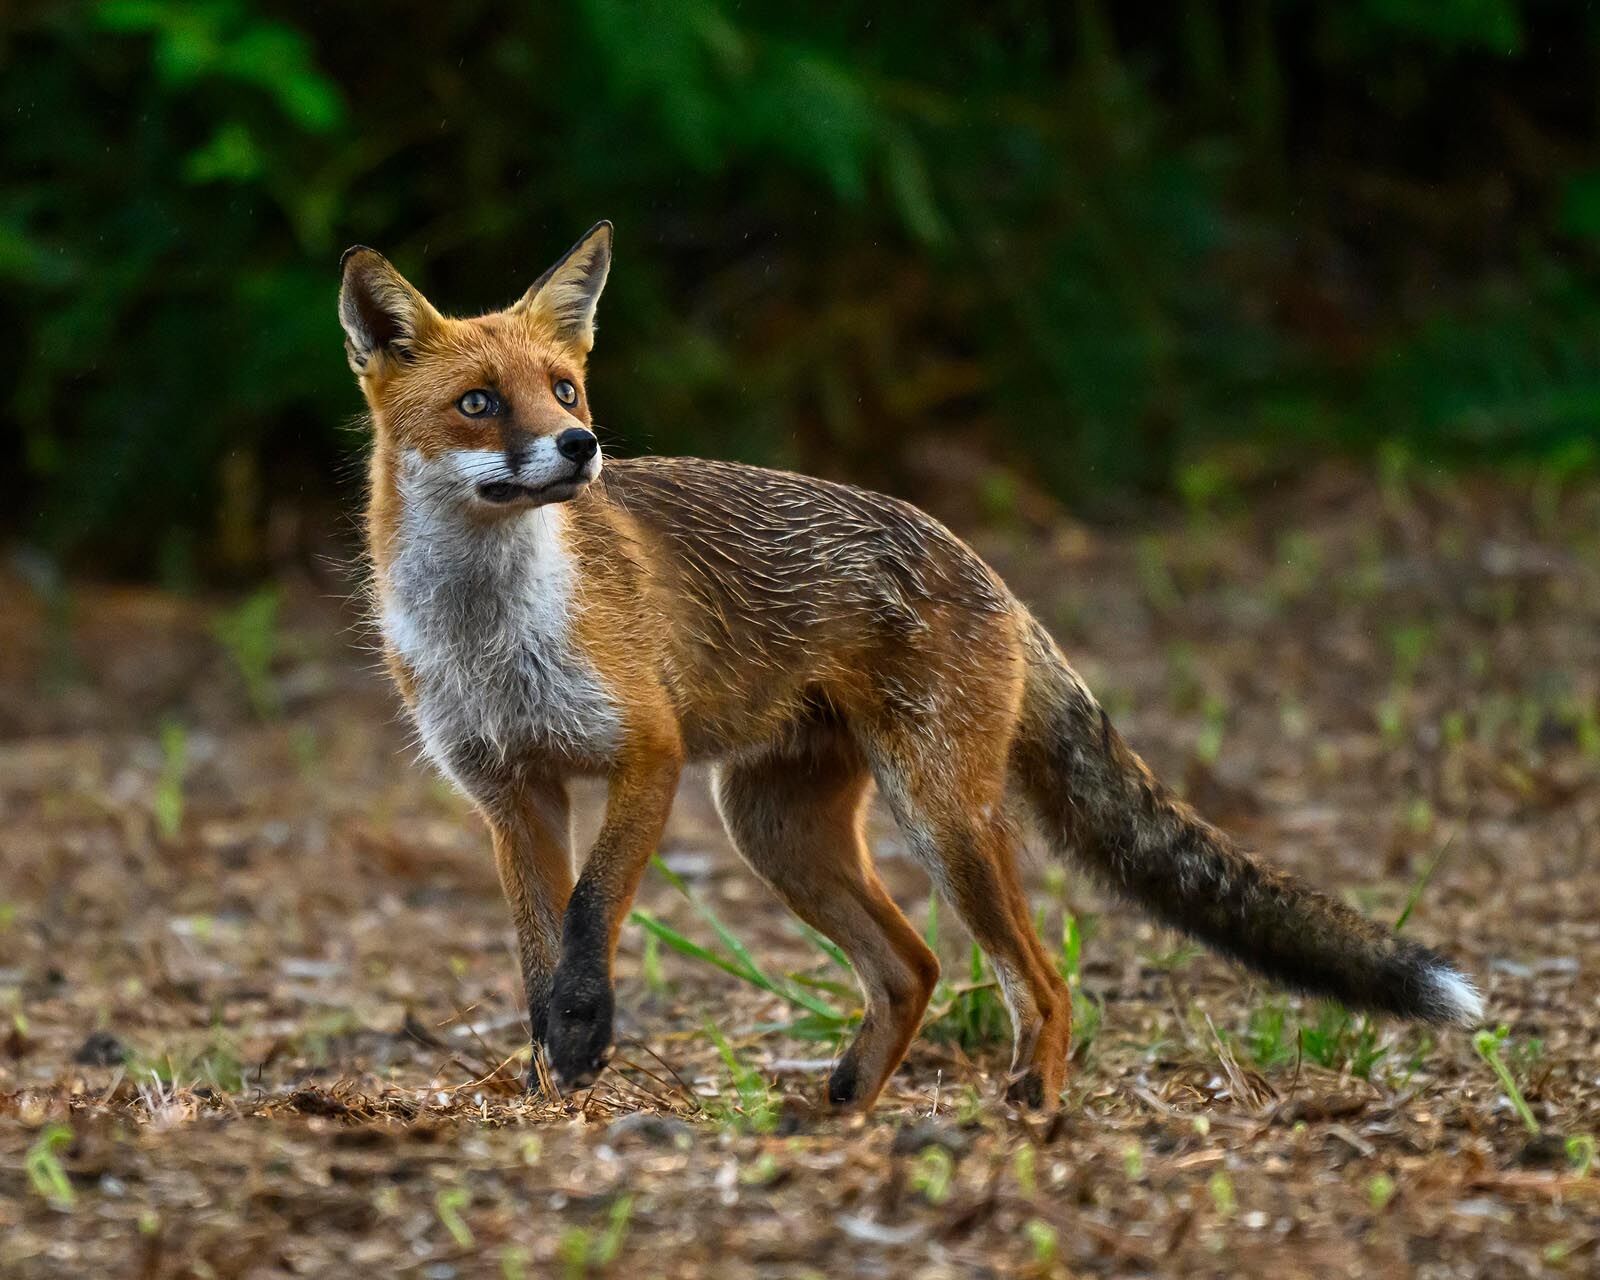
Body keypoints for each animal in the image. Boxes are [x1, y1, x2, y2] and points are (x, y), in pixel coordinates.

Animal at [337, 221, 1483, 1111]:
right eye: (480, 402)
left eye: (565, 388)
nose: (579, 448)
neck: (490, 635)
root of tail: (984, 565)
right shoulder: (510, 791)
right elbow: (536, 953)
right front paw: (546, 1081)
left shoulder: (645, 756)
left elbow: (586, 921)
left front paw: (580, 1046)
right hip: (778, 830)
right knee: (915, 967)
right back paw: (844, 1107)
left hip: (937, 818)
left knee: (1043, 980)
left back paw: (1029, 1109)